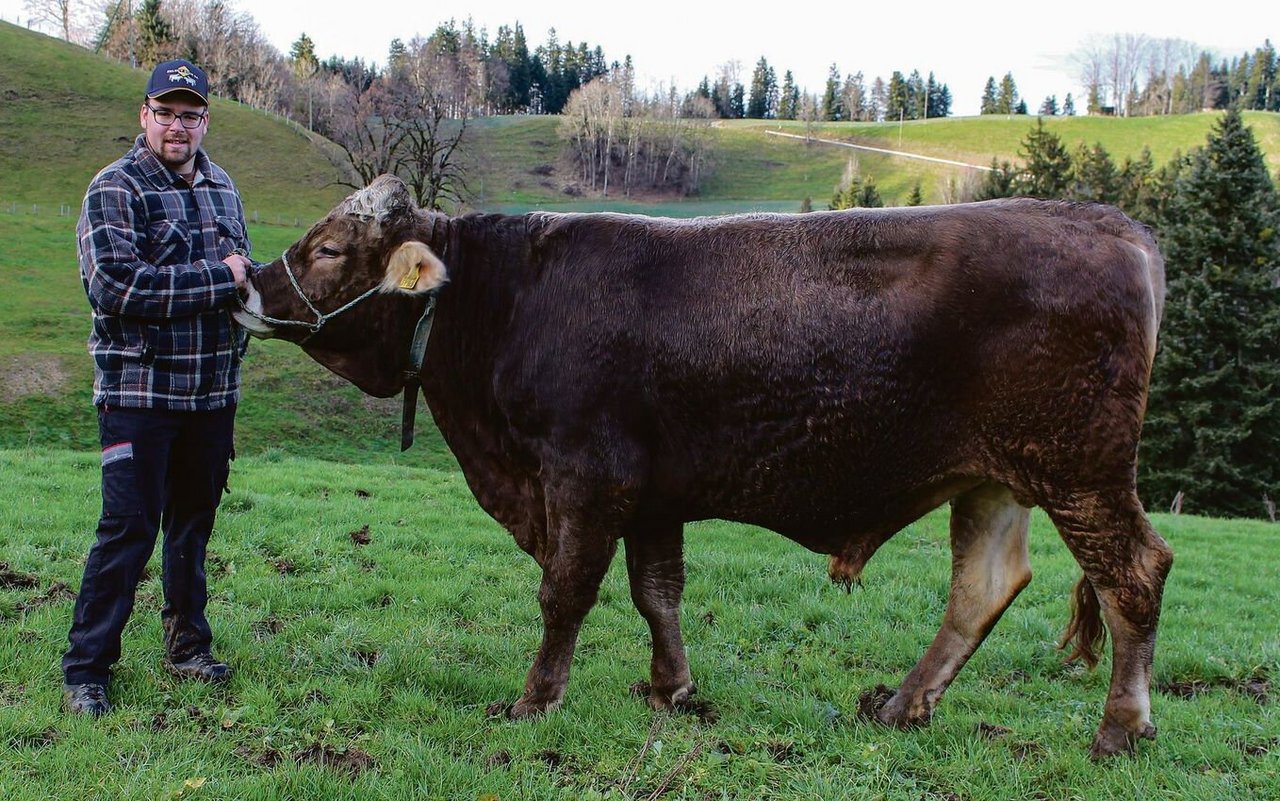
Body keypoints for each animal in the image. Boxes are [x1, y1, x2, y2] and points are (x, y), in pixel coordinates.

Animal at [238, 172, 1172, 752]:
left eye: (328, 249)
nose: (245, 280)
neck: (505, 297)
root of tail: (1110, 223)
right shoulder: (654, 495)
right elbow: (658, 593)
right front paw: (671, 687)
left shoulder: (586, 477)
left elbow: (565, 593)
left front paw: (536, 698)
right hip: (995, 478)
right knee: (982, 587)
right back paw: (903, 705)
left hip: (1081, 473)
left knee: (1134, 574)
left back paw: (1120, 727)